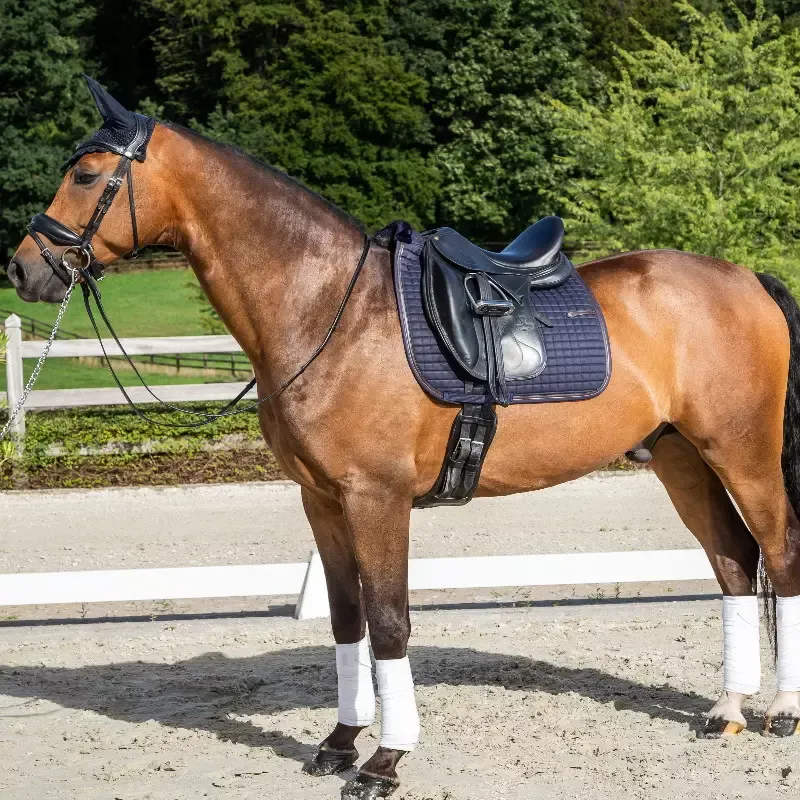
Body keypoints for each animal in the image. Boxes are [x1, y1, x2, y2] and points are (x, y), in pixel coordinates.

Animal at [7, 80, 800, 799]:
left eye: (85, 175)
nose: (23, 267)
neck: (330, 312)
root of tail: (744, 278)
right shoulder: (323, 501)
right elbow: (347, 621)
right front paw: (339, 743)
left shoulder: (376, 499)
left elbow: (389, 624)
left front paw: (384, 761)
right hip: (680, 458)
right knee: (735, 561)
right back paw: (726, 710)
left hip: (743, 453)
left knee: (780, 552)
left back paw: (781, 712)